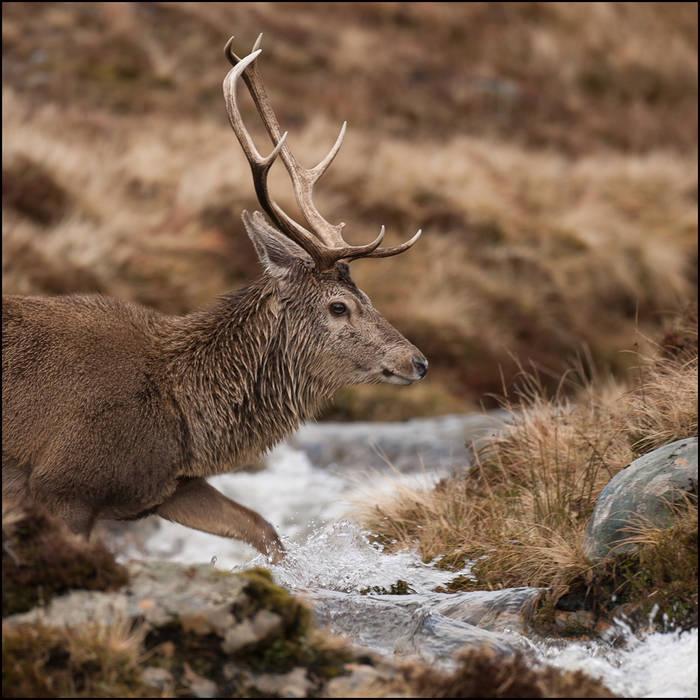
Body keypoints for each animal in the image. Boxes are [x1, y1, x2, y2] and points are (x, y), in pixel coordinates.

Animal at [1, 35, 428, 562]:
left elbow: (262, 527)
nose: (418, 361)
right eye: (339, 306)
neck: (181, 411)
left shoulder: (170, 486)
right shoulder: (63, 486)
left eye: (365, 294)